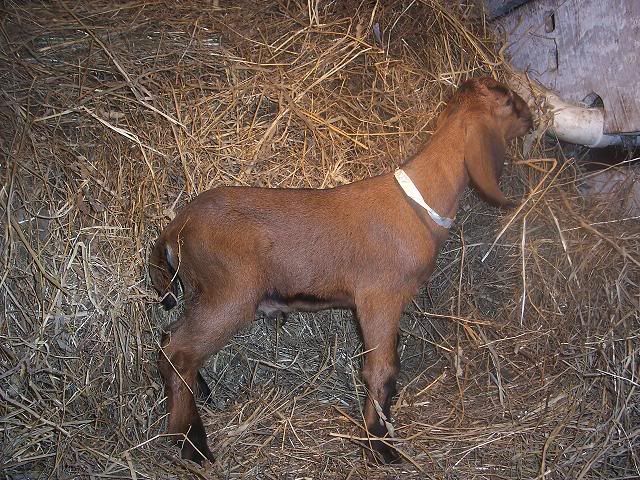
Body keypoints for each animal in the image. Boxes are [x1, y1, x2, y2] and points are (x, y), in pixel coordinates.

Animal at [149, 77, 533, 464]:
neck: (417, 202)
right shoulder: (379, 298)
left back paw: (201, 395)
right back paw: (192, 444)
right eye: (509, 101)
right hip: (230, 294)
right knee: (177, 352)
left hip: (202, 294)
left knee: (169, 336)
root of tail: (174, 229)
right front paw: (380, 444)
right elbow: (383, 371)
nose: (531, 119)